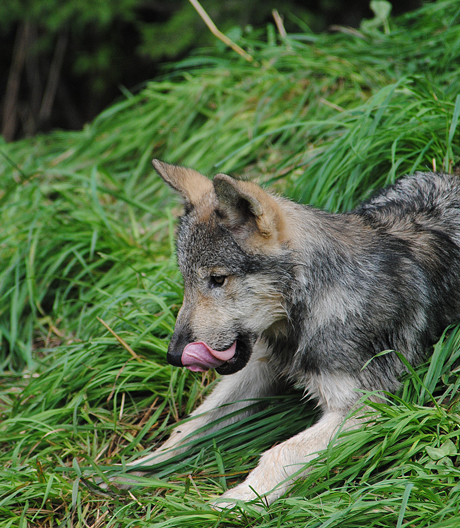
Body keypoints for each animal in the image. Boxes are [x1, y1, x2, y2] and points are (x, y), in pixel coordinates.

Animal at [125, 160, 460, 504]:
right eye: (187, 281)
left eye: (217, 279)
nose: (174, 355)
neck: (314, 307)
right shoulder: (259, 367)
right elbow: (190, 424)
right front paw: (133, 470)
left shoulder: (368, 408)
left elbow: (280, 452)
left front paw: (233, 504)